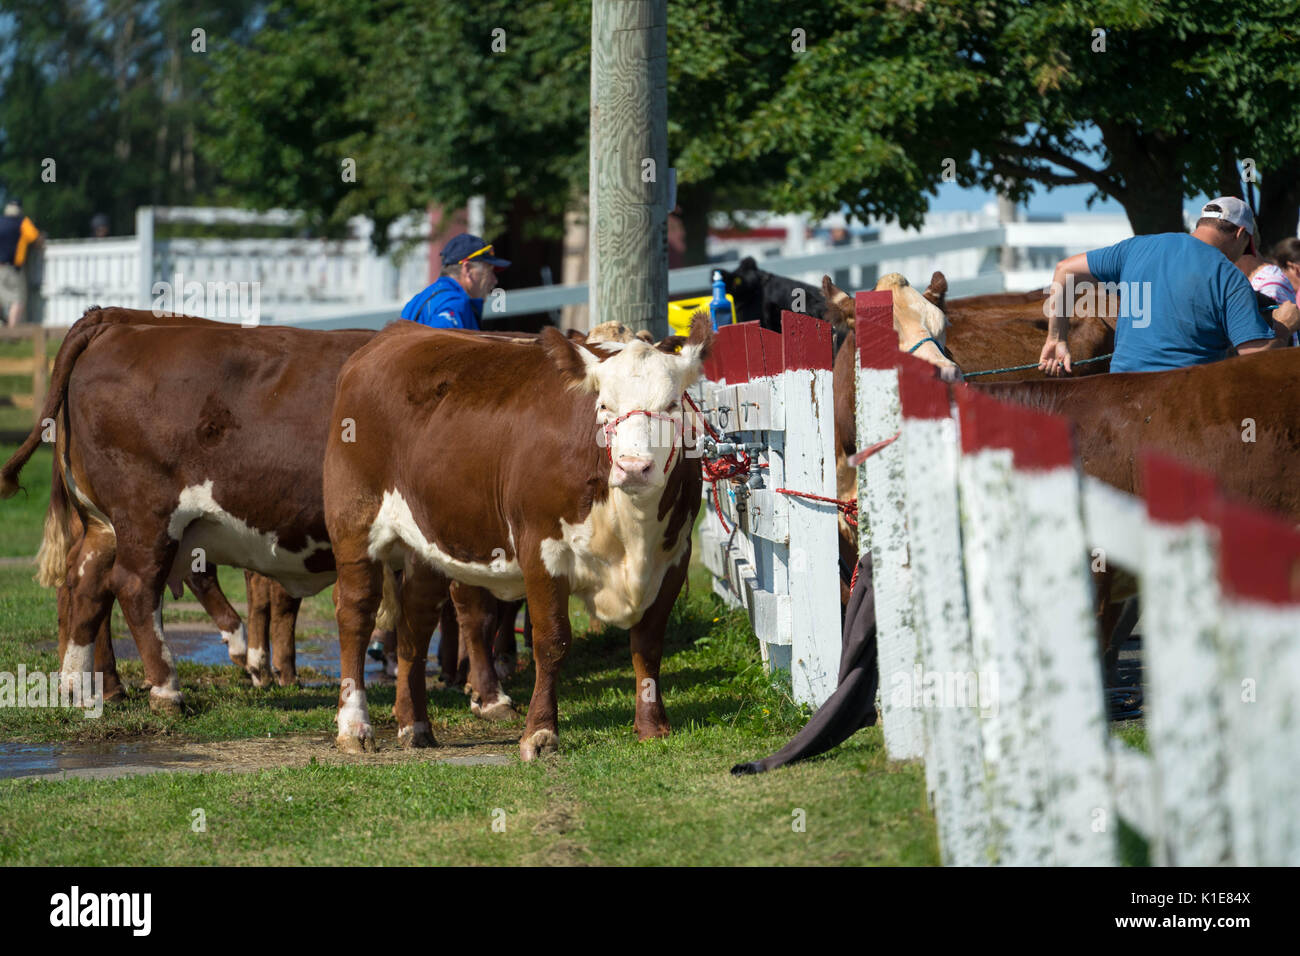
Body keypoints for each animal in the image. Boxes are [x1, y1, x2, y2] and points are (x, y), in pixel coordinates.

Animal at [323, 321, 712, 764]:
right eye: (604, 407)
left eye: (672, 406)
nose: (634, 467)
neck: (633, 530)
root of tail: (393, 333)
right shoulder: (542, 549)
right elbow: (551, 641)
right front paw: (540, 732)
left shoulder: (674, 556)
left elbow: (648, 643)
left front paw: (652, 727)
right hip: (354, 524)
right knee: (355, 614)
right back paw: (354, 725)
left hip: (425, 544)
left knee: (415, 624)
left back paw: (415, 723)